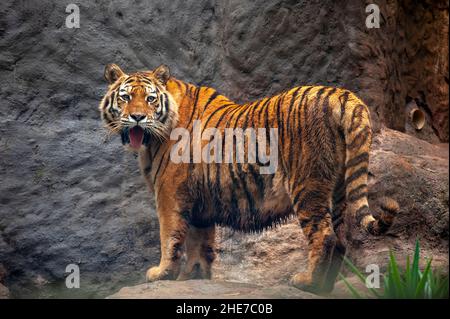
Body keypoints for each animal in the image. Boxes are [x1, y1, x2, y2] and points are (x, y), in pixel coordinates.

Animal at [98, 63, 398, 296]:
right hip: (336, 189)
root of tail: (343, 95)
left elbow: (169, 236)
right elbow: (199, 242)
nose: (137, 117)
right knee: (340, 240)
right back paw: (323, 288)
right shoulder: (199, 203)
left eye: (150, 99)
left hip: (308, 184)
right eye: (125, 98)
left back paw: (306, 283)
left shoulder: (169, 193)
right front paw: (194, 277)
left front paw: (161, 273)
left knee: (324, 236)